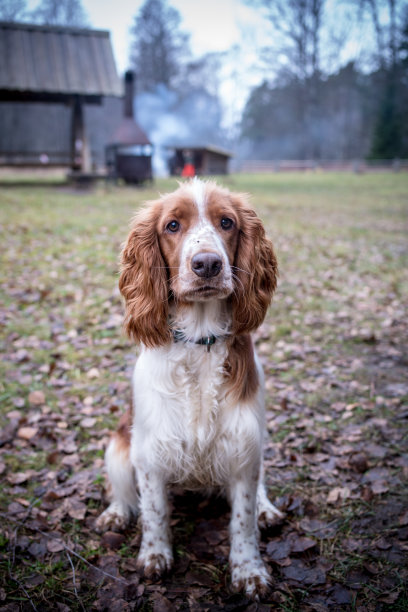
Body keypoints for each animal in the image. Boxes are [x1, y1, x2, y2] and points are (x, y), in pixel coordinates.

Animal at [97, 179, 284, 600]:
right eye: (172, 225)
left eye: (226, 222)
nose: (207, 264)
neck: (201, 341)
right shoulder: (150, 453)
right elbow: (154, 511)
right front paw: (155, 555)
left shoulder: (244, 446)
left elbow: (243, 519)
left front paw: (249, 570)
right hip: (118, 445)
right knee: (123, 490)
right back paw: (116, 512)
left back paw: (267, 509)